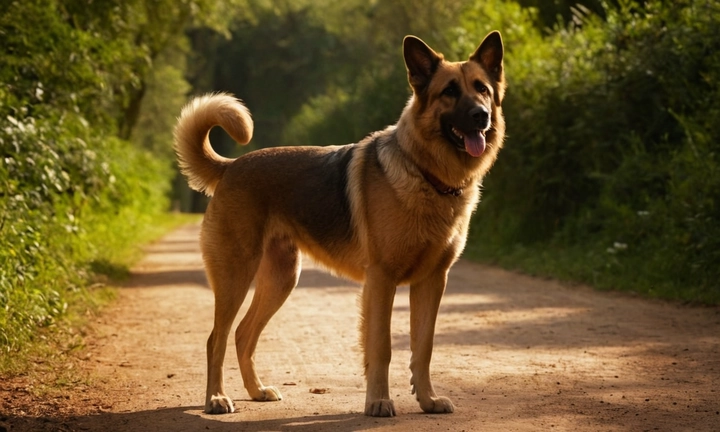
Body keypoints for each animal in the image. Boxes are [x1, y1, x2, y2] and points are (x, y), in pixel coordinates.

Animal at [174, 29, 506, 416]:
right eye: (450, 91)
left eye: (482, 88)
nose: (481, 116)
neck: (425, 174)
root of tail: (230, 167)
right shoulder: (381, 281)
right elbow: (381, 347)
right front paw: (378, 401)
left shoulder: (433, 282)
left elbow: (423, 348)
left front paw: (427, 400)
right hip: (236, 276)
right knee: (217, 338)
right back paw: (215, 398)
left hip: (281, 280)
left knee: (243, 334)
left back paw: (256, 391)